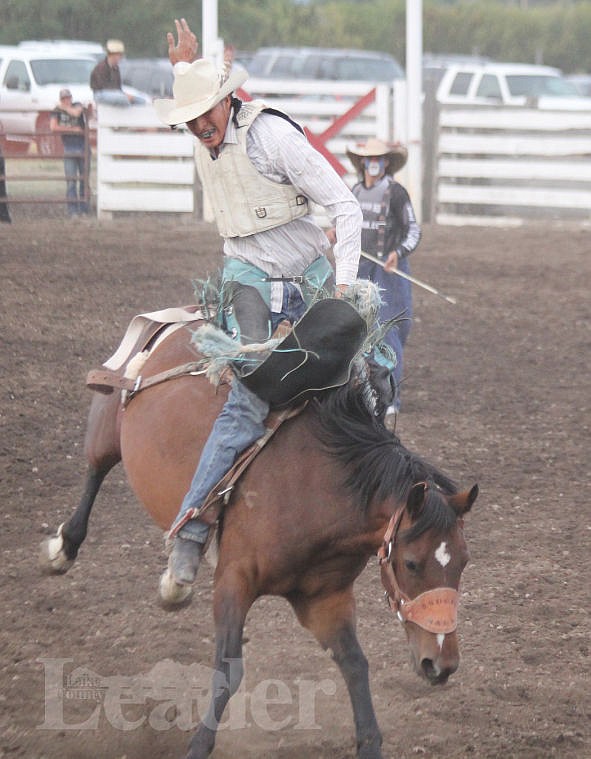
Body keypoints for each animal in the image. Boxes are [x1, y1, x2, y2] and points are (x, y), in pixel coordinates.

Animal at [40, 322, 476, 759]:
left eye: (463, 562)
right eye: (411, 563)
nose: (442, 665)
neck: (318, 491)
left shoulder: (325, 600)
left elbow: (355, 663)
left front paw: (369, 742)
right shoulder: (234, 580)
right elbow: (228, 669)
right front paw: (199, 745)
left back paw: (172, 583)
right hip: (108, 428)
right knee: (95, 470)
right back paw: (64, 550)